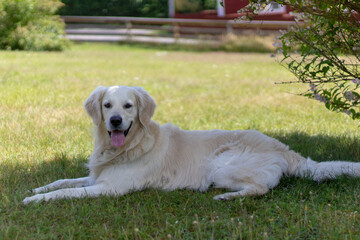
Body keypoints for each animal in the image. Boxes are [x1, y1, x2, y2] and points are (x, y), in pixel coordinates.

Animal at [21, 85, 360, 203]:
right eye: (107, 106)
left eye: (128, 106)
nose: (115, 121)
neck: (130, 145)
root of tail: (285, 149)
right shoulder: (96, 177)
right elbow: (62, 181)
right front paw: (37, 188)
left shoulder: (111, 188)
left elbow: (67, 192)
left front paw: (34, 201)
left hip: (220, 166)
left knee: (262, 188)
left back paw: (225, 197)